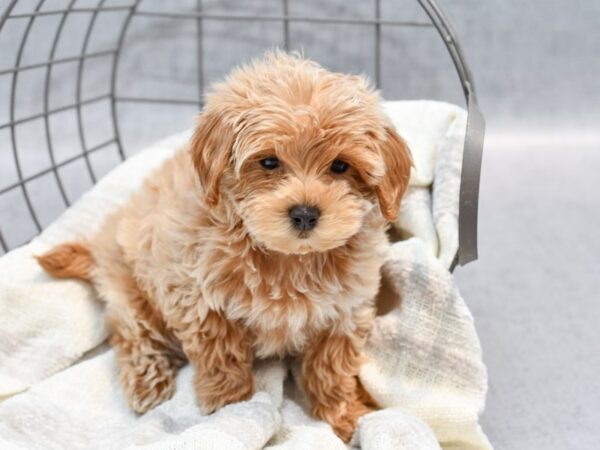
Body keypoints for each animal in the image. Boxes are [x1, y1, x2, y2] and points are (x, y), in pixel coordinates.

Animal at [37, 51, 412, 442]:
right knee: (129, 331)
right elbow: (221, 357)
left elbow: (332, 367)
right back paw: (147, 381)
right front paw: (229, 410)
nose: (305, 213)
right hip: (128, 285)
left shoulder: (344, 310)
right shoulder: (199, 297)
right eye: (268, 162)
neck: (287, 258)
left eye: (340, 166)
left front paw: (345, 414)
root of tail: (100, 242)